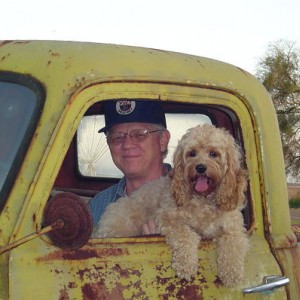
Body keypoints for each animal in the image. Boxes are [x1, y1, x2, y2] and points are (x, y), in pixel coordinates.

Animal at [94, 123, 248, 288]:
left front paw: (232, 275)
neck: (203, 200)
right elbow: (186, 235)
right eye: (192, 153)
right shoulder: (167, 218)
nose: (200, 168)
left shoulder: (233, 229)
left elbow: (233, 248)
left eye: (213, 153)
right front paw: (186, 265)